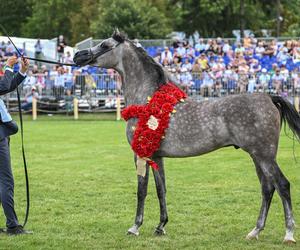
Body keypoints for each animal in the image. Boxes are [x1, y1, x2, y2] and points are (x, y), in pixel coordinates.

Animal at [73, 30, 300, 242]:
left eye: (105, 45)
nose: (77, 56)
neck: (147, 100)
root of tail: (269, 97)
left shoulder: (141, 154)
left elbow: (141, 190)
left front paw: (135, 227)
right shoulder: (157, 157)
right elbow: (161, 189)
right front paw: (161, 226)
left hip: (264, 156)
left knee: (282, 185)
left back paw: (288, 234)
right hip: (256, 156)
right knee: (267, 188)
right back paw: (255, 231)